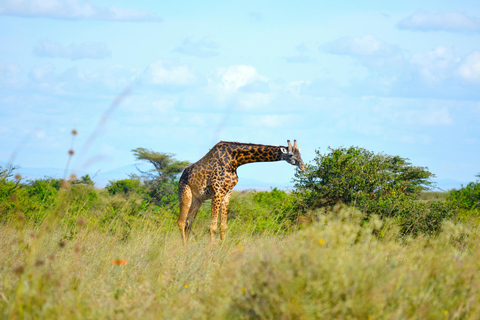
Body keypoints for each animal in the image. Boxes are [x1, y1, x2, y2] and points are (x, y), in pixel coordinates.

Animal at [178, 139, 306, 244]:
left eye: (300, 153)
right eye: (291, 154)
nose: (303, 166)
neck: (234, 161)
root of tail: (182, 175)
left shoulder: (227, 192)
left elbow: (223, 225)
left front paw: (221, 248)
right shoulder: (218, 191)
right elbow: (213, 227)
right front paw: (209, 253)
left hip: (197, 199)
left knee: (188, 223)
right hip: (185, 193)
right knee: (181, 222)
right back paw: (184, 248)